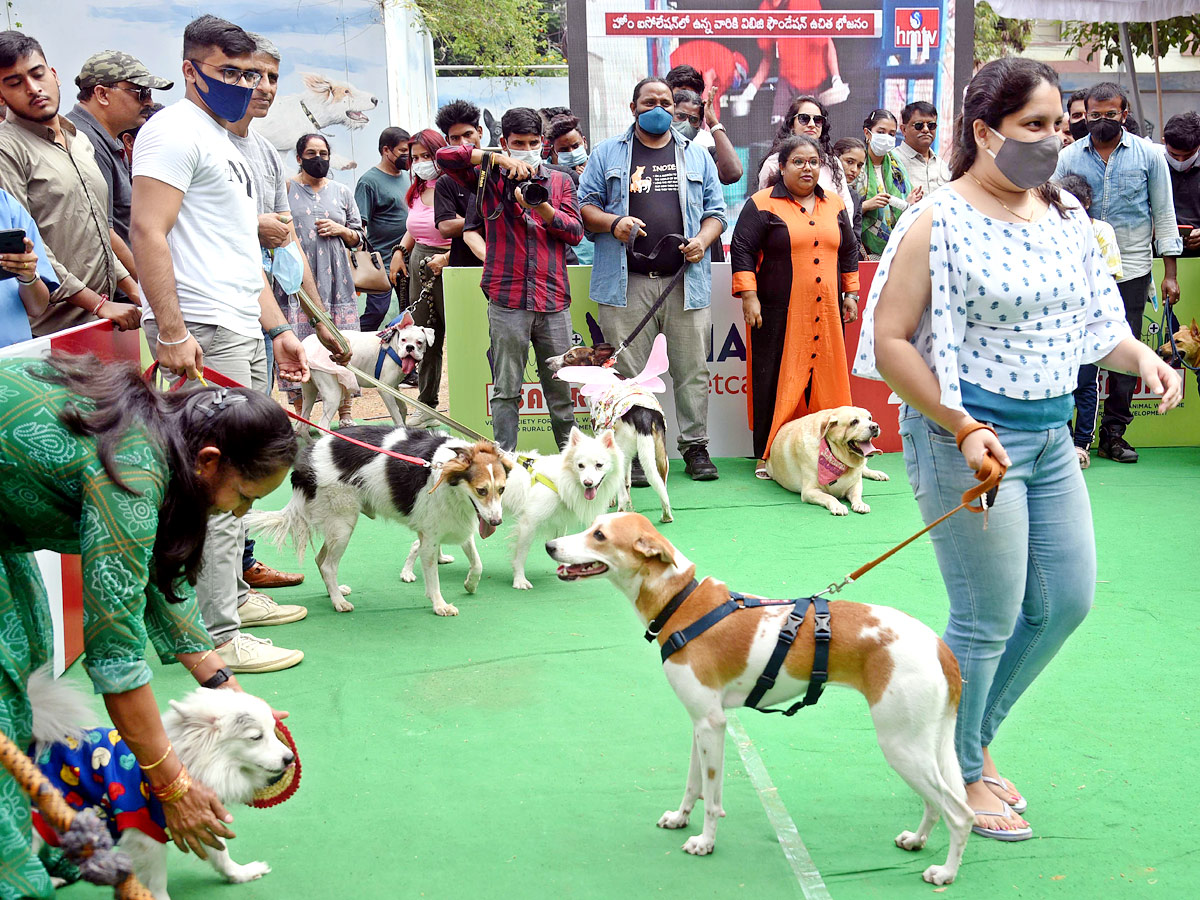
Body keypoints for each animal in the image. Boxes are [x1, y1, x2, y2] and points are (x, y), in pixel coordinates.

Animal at [29, 672, 291, 900]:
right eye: (256, 737)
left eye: (273, 731)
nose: (290, 758)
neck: (186, 761)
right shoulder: (146, 835)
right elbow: (156, 881)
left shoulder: (200, 817)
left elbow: (221, 853)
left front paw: (241, 874)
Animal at [506, 429, 624, 592]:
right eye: (580, 465)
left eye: (599, 465)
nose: (588, 483)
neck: (562, 482)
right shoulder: (528, 522)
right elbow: (521, 554)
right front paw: (519, 580)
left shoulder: (560, 522)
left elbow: (559, 543)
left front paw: (566, 568)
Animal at [544, 513, 974, 888]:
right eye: (591, 525)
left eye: (599, 535)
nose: (549, 546)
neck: (680, 603)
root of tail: (940, 647)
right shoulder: (700, 723)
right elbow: (692, 785)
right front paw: (681, 819)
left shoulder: (712, 725)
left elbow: (712, 797)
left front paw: (705, 842)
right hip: (922, 747)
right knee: (935, 804)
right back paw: (916, 840)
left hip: (901, 746)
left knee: (960, 812)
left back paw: (946, 873)